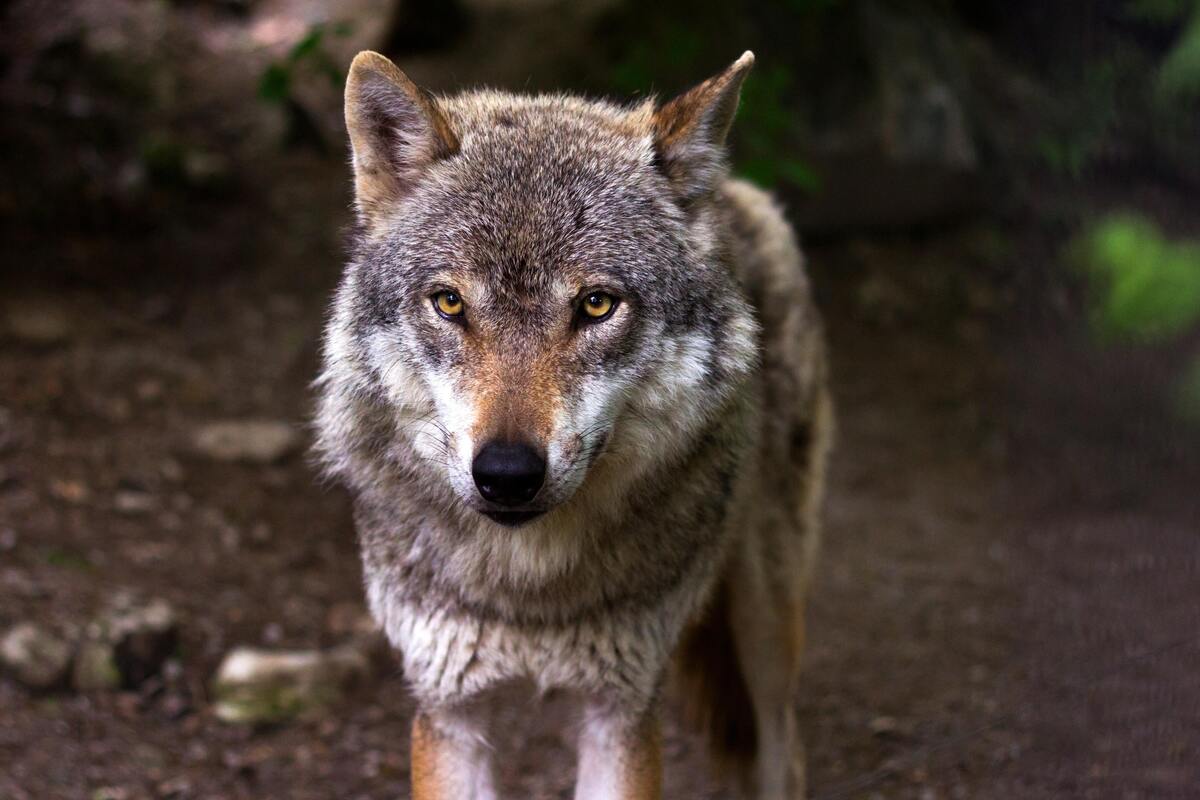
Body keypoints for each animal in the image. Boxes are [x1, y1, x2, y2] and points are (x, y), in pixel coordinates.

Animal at [314, 50, 830, 800]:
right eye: (449, 303)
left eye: (595, 305)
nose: (506, 474)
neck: (529, 591)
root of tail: (730, 191)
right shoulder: (449, 710)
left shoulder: (621, 710)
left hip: (767, 624)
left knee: (784, 750)